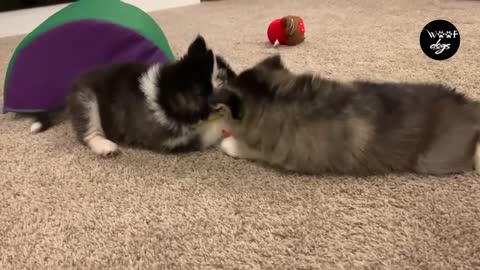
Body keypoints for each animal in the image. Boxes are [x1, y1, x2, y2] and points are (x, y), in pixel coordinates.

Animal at [30, 35, 236, 157]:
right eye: (226, 80)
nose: (239, 78)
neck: (165, 93)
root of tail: (70, 93)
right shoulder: (174, 140)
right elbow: (214, 129)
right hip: (86, 101)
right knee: (88, 133)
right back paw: (104, 146)